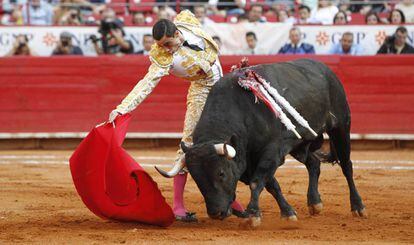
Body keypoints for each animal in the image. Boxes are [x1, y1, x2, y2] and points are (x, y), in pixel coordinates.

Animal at [181, 58, 366, 221]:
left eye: (221, 173)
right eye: (195, 178)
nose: (216, 213)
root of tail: (326, 69)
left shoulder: (271, 151)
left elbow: (257, 181)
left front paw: (253, 214)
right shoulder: (249, 159)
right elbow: (271, 185)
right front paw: (287, 212)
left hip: (341, 126)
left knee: (346, 166)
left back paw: (358, 207)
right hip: (299, 143)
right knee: (314, 163)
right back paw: (314, 203)